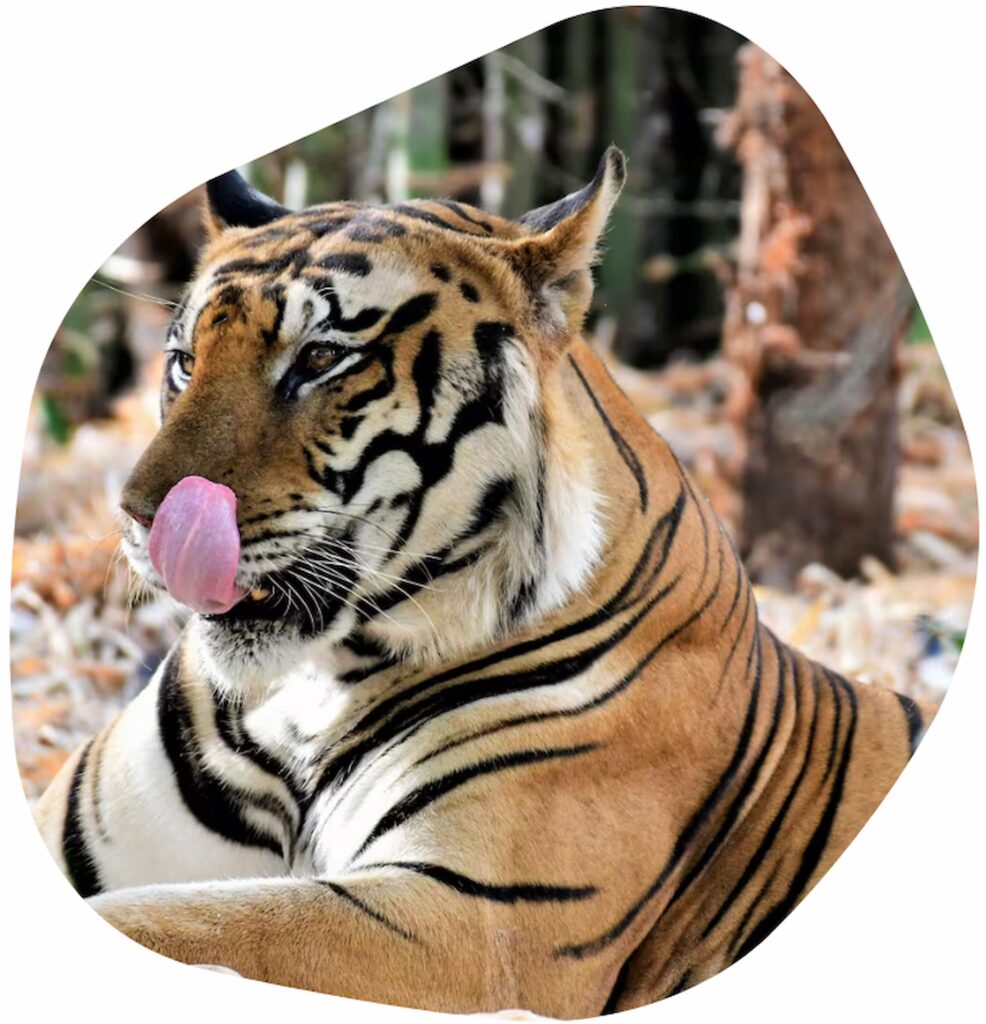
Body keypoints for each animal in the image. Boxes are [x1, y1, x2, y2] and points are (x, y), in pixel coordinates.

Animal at [32, 147, 935, 1017]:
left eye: (320, 358)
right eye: (185, 362)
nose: (141, 516)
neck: (307, 693)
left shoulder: (474, 922)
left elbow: (185, 925)